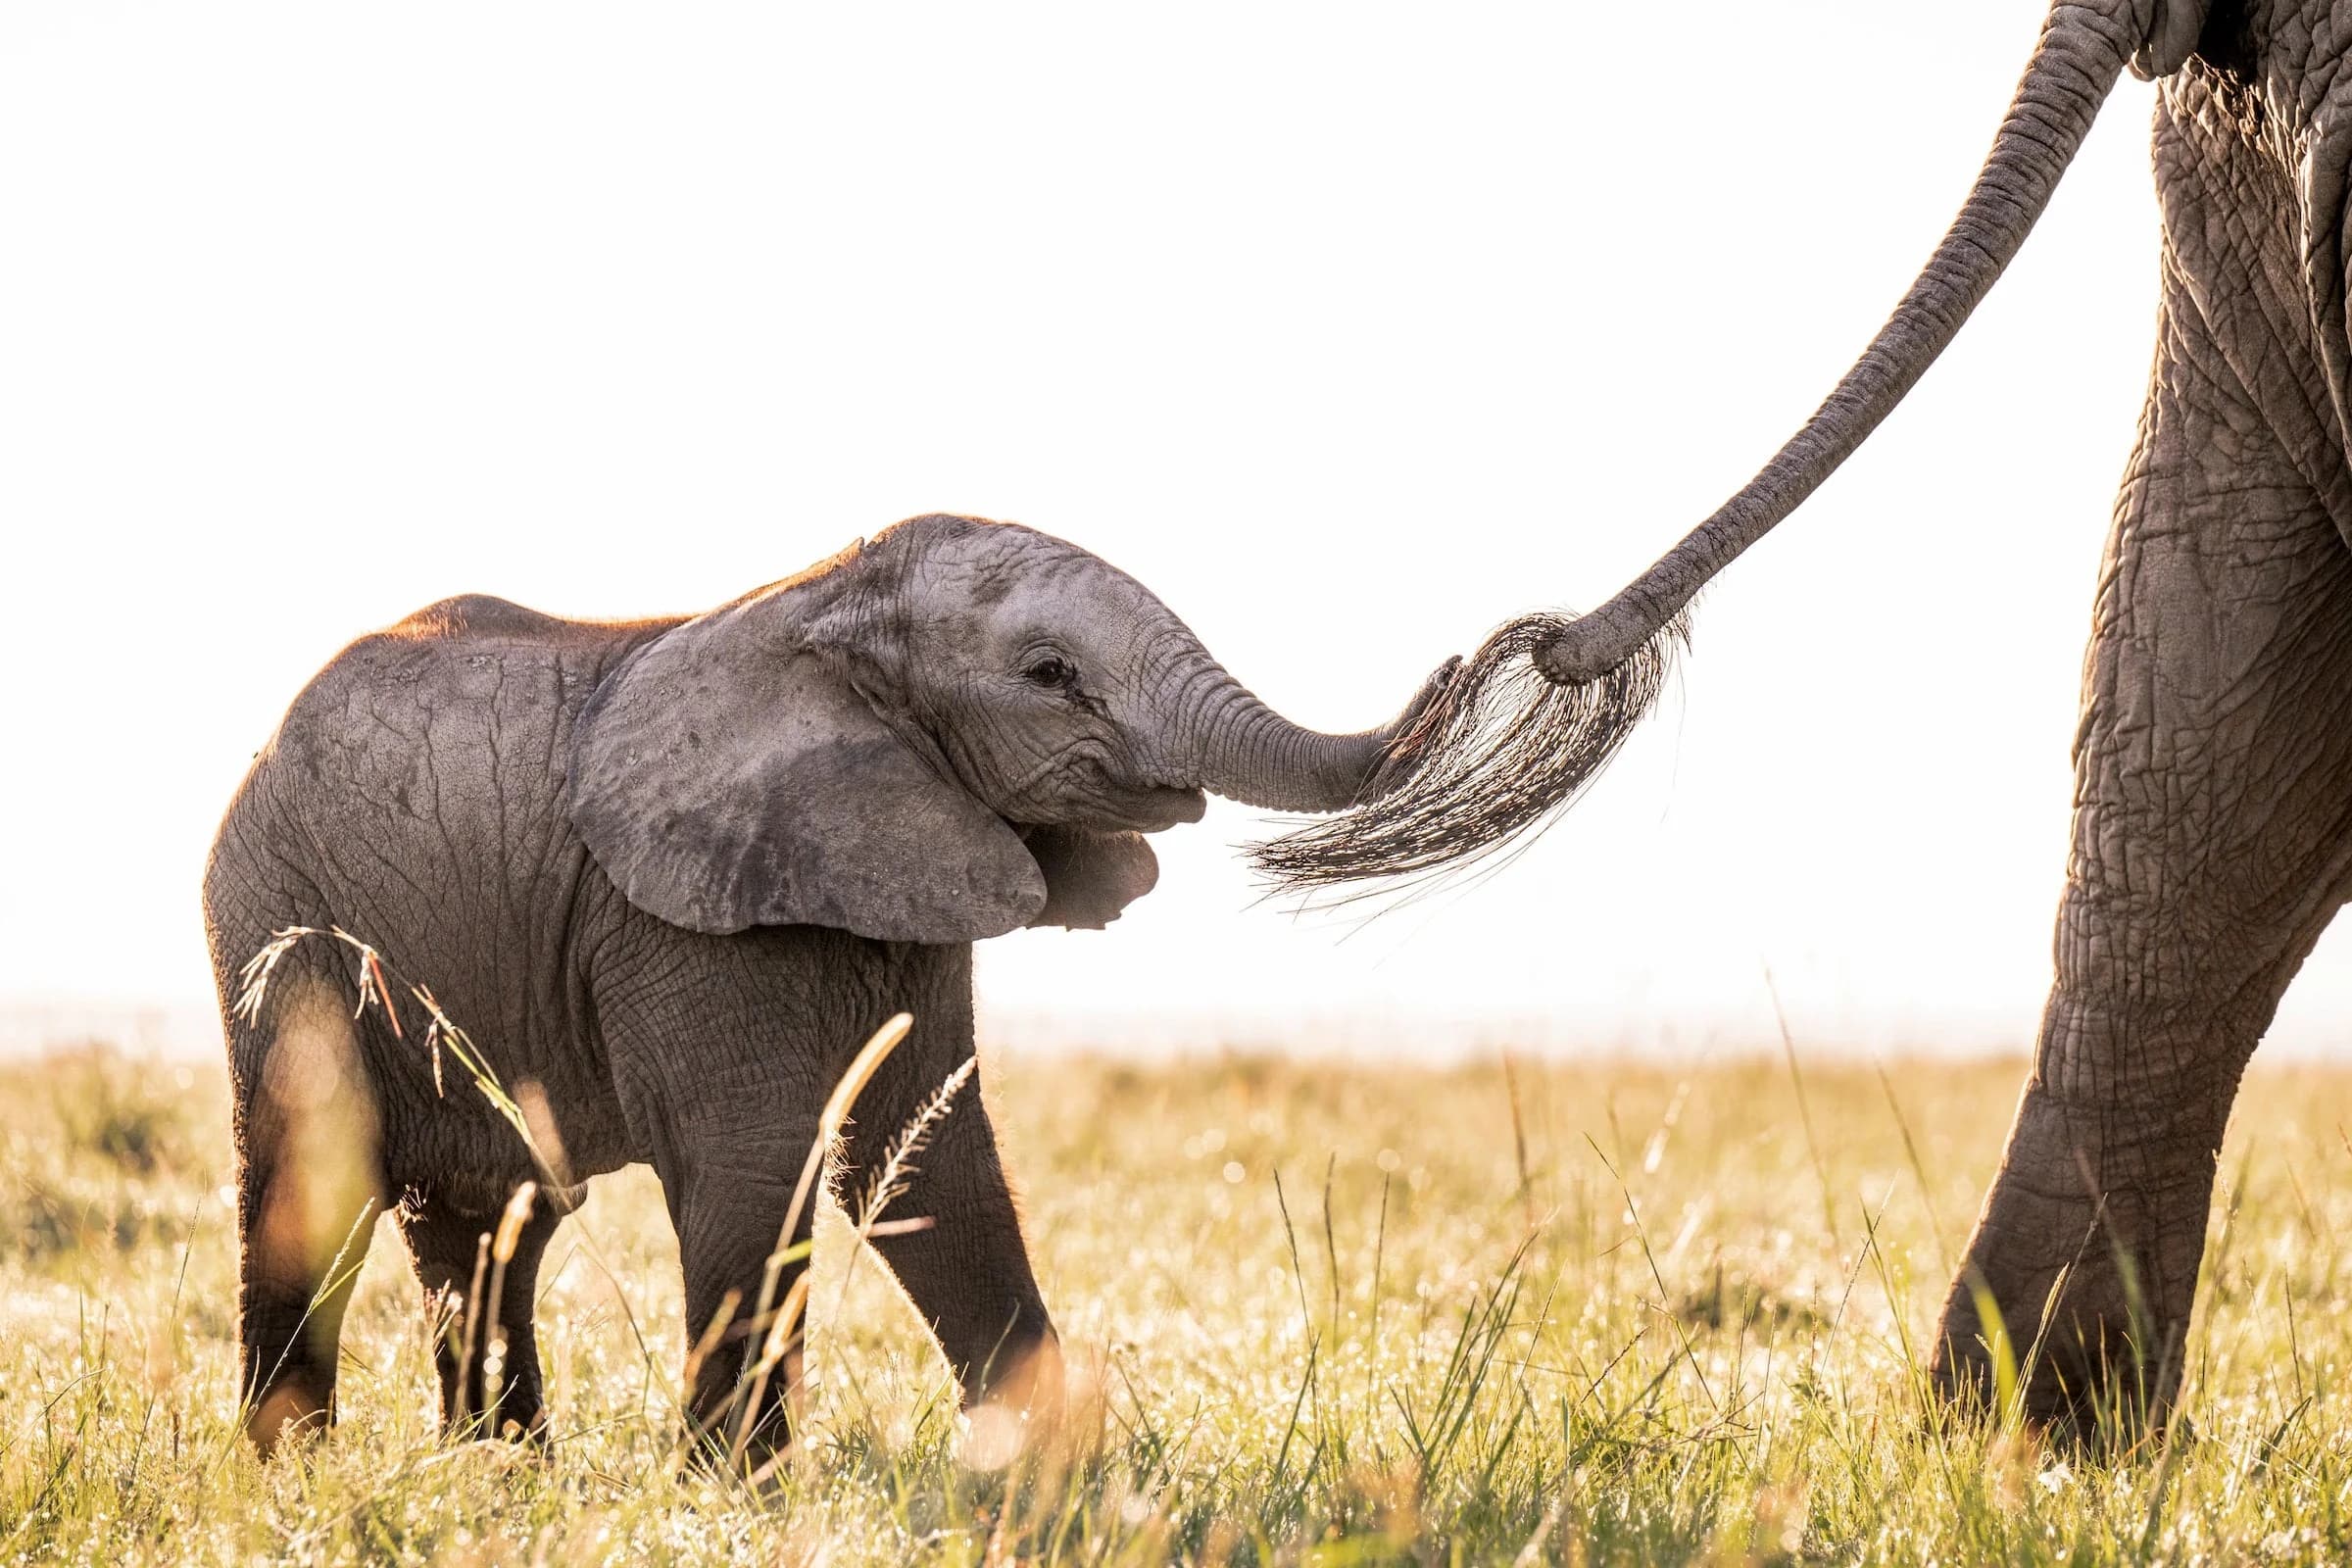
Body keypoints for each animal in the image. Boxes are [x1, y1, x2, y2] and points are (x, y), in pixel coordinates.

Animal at [206, 511, 1452, 1458]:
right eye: (1050, 675)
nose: (1475, 660)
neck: (819, 605)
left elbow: (930, 1160)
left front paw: (1053, 1479)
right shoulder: (678, 915)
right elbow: (759, 1164)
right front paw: (733, 1496)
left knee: (489, 1225)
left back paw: (499, 1477)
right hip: (275, 919)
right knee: (313, 1184)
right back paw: (294, 1479)